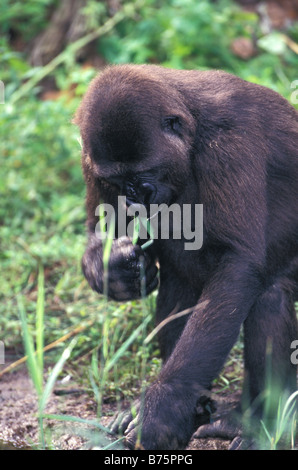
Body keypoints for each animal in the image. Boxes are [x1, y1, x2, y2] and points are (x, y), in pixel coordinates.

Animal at [73, 64, 296, 450]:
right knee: (181, 284)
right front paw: (112, 270)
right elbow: (97, 228)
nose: (136, 200)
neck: (192, 126)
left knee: (270, 295)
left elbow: (239, 263)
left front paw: (167, 405)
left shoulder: (231, 143)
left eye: (142, 175)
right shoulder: (91, 157)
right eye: (117, 182)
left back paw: (257, 421)